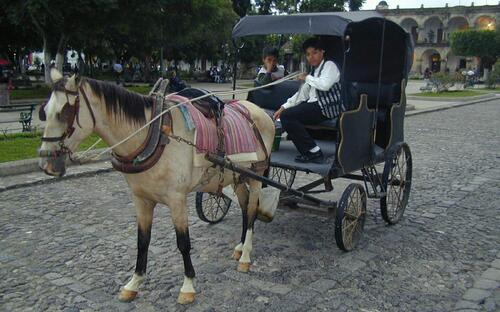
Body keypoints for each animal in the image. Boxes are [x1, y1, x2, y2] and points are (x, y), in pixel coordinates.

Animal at [37, 67, 276, 304]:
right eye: (44, 112)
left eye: (65, 112)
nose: (46, 163)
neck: (155, 134)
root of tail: (261, 112)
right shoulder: (141, 200)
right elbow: (142, 241)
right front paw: (134, 283)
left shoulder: (177, 200)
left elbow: (183, 242)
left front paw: (188, 285)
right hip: (236, 176)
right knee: (244, 207)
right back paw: (240, 246)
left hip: (256, 175)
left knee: (252, 211)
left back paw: (246, 255)